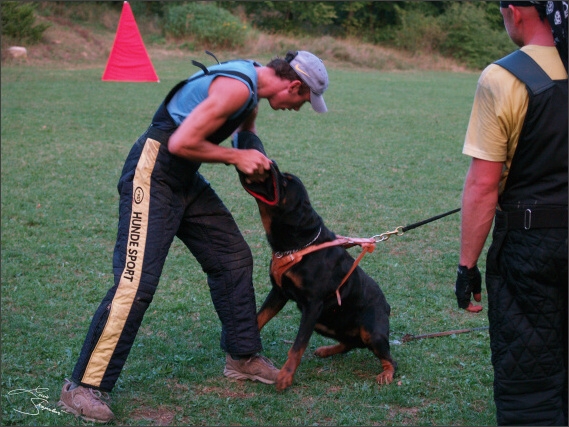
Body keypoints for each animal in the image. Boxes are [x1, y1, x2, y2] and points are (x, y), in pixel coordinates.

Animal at [233, 132, 398, 392]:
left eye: (284, 182)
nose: (271, 163)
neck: (299, 243)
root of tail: (387, 306)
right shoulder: (279, 292)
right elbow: (258, 318)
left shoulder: (313, 305)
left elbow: (297, 346)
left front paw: (285, 376)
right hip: (328, 323)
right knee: (351, 343)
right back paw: (327, 350)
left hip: (370, 330)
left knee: (388, 357)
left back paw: (387, 373)